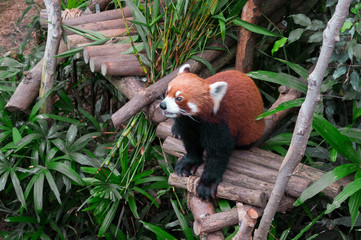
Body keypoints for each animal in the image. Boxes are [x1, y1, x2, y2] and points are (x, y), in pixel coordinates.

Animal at [159, 64, 262, 201]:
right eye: (167, 92)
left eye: (179, 98)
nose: (163, 105)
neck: (195, 120)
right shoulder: (187, 124)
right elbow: (191, 143)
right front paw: (189, 163)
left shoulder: (217, 124)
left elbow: (218, 153)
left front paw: (207, 184)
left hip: (252, 128)